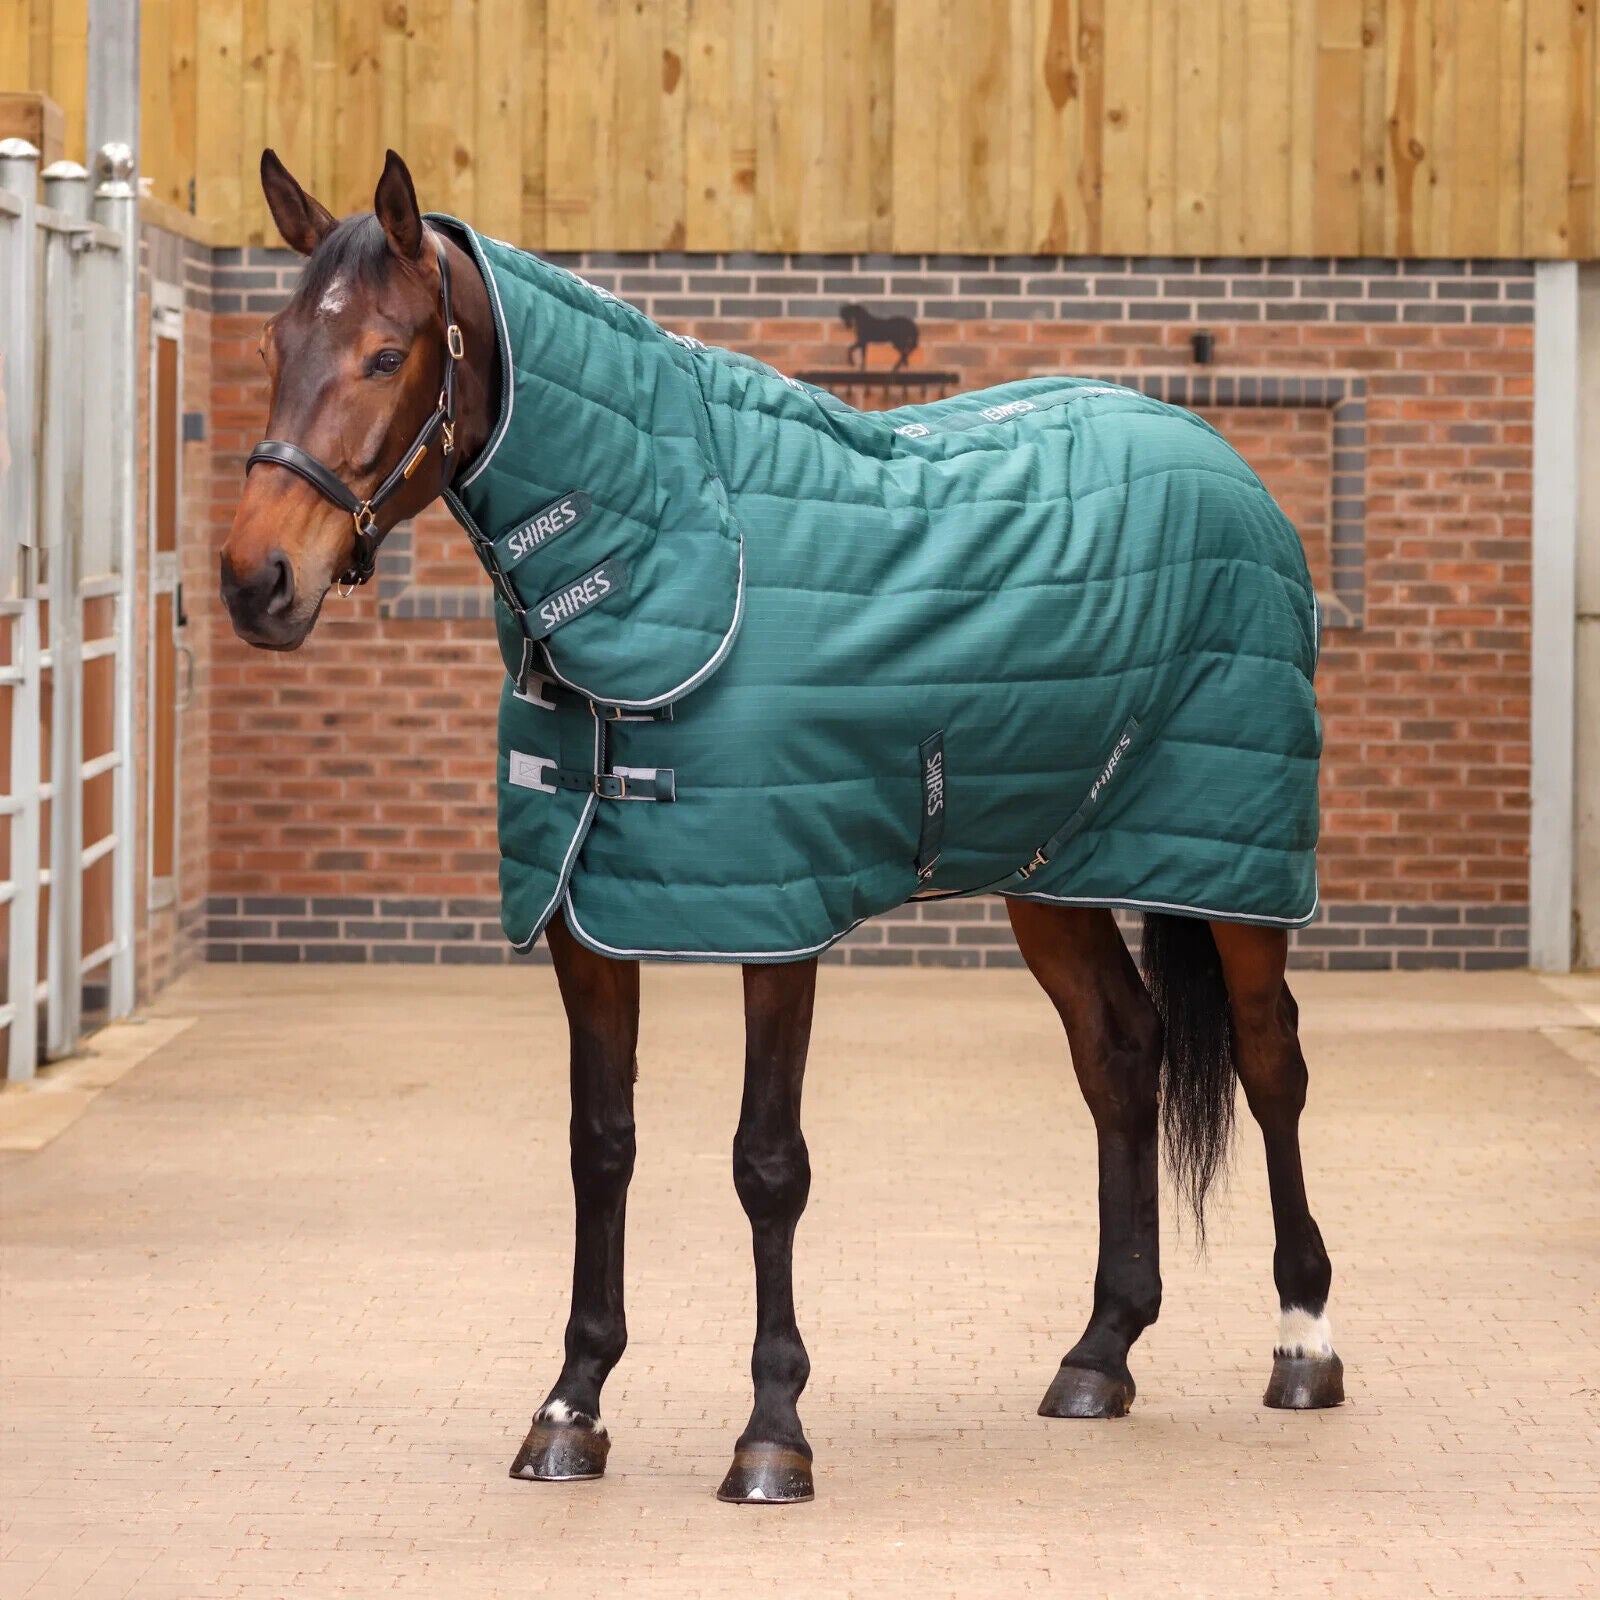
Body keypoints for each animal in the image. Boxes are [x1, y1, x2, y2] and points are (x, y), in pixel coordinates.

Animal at [221, 148, 1344, 1507]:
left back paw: (1303, 1342)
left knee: (1269, 1061)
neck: (678, 557)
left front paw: (771, 1432)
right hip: (1051, 872)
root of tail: (1225, 464)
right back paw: (1100, 1353)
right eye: (276, 343)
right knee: (1121, 1057)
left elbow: (768, 1162)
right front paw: (570, 1409)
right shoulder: (585, 924)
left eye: (387, 354)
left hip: (1236, 875)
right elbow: (601, 1146)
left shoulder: (775, 916)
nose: (256, 580)